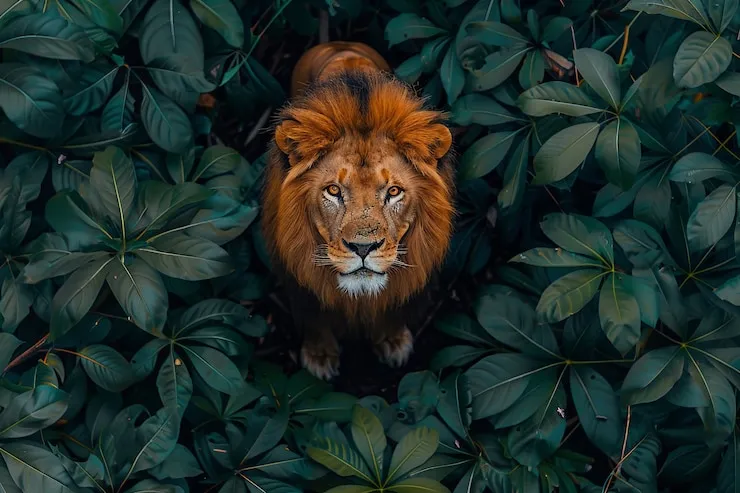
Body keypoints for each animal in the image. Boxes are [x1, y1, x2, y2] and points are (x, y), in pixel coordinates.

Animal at [261, 41, 455, 380]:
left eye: (393, 192)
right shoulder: (298, 280)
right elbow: (315, 318)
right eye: (333, 191)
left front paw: (393, 342)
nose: (363, 248)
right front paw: (319, 357)